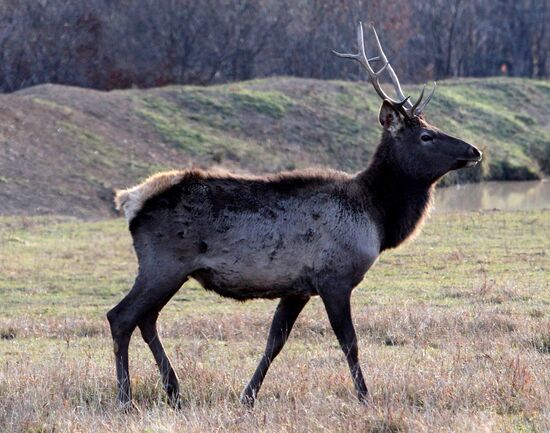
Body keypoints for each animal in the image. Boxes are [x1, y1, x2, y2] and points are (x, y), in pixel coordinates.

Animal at [108, 23, 484, 408]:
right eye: (426, 135)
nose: (475, 151)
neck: (377, 217)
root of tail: (130, 199)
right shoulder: (333, 276)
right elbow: (349, 342)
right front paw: (365, 396)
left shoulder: (297, 287)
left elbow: (275, 341)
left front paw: (248, 396)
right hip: (164, 263)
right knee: (121, 316)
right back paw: (125, 395)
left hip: (170, 269)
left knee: (146, 318)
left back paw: (173, 389)